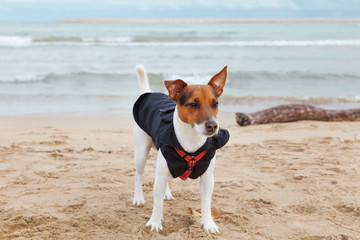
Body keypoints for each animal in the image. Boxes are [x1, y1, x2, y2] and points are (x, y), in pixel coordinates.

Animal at [133, 64, 231, 233]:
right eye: (193, 104)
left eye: (215, 104)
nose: (213, 126)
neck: (191, 141)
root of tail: (149, 93)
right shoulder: (160, 173)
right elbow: (157, 202)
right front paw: (155, 222)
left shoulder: (207, 178)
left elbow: (206, 203)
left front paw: (209, 223)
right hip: (141, 152)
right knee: (139, 175)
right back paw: (138, 198)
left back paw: (166, 193)